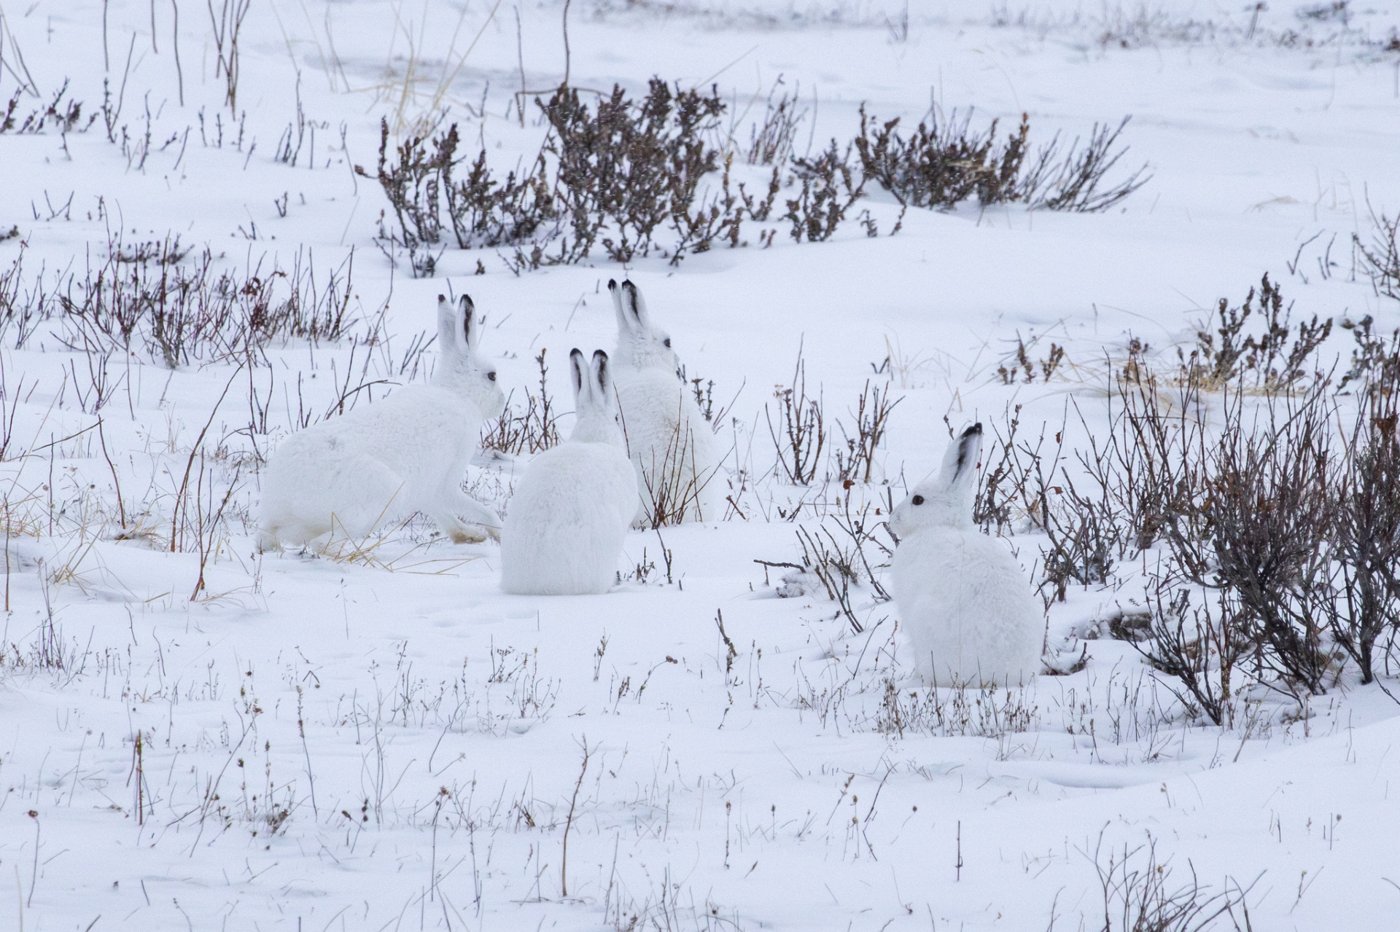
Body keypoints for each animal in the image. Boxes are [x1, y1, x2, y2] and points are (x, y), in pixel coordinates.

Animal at [258, 294, 507, 551]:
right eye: (492, 376)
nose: (502, 401)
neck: (459, 394)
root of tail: (285, 501)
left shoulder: (427, 489)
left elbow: (443, 515)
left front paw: (470, 536)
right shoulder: (446, 479)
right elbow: (479, 510)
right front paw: (499, 535)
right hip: (382, 495)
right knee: (323, 544)